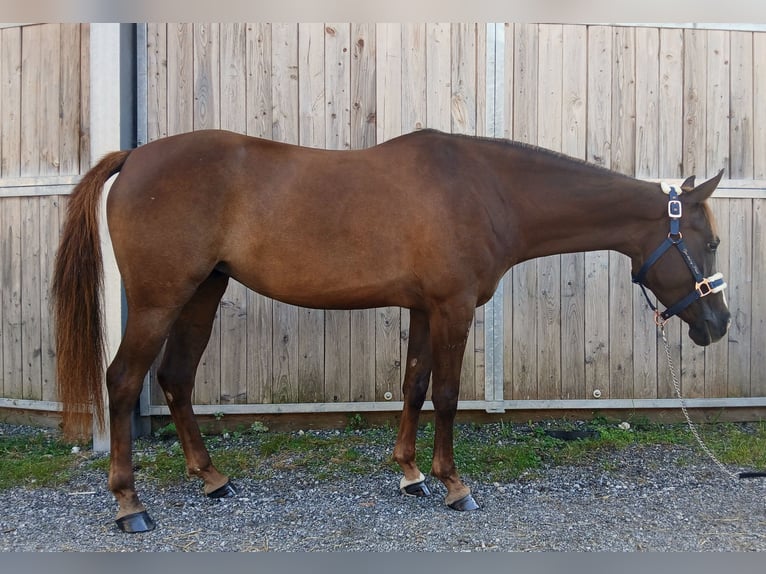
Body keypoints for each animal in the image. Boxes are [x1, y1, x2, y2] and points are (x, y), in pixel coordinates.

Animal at [51, 128, 728, 532]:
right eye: (711, 241)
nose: (718, 324)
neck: (487, 190)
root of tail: (135, 156)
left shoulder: (425, 309)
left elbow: (413, 386)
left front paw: (410, 474)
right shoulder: (454, 307)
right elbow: (448, 395)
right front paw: (455, 485)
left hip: (203, 292)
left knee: (176, 377)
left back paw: (212, 479)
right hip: (160, 299)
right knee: (123, 380)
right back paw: (129, 505)